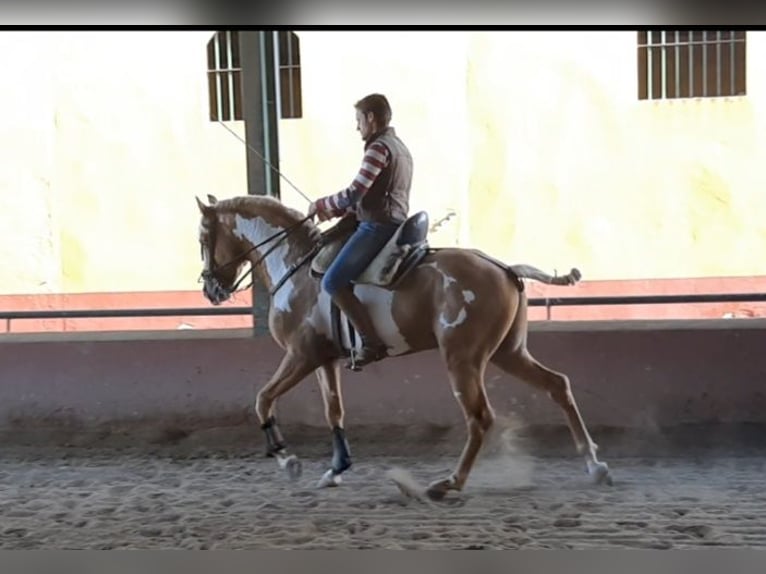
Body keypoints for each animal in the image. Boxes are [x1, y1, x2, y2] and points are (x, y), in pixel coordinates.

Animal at [196, 194, 612, 500]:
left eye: (202, 237)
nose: (211, 289)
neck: (296, 267)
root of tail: (505, 268)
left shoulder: (300, 356)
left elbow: (263, 399)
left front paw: (288, 460)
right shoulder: (325, 361)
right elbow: (334, 411)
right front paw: (335, 469)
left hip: (463, 359)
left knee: (480, 418)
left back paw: (448, 484)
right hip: (509, 353)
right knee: (557, 385)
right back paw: (594, 466)